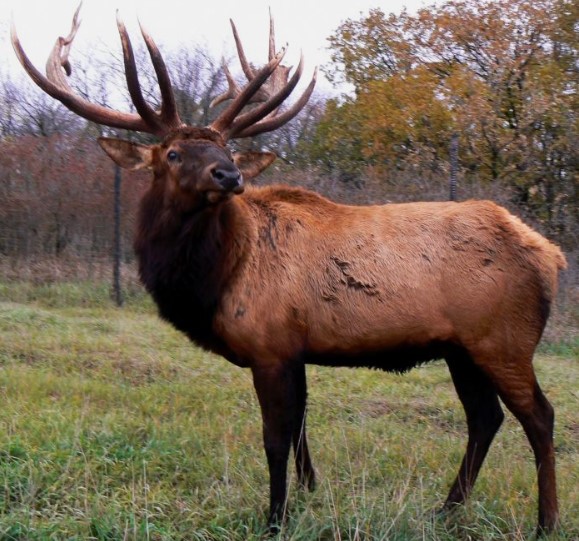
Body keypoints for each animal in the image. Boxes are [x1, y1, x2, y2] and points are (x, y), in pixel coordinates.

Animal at [11, 5, 568, 536]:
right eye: (172, 152)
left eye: (226, 148)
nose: (229, 175)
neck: (217, 277)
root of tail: (551, 255)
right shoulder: (295, 348)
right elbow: (302, 428)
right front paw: (310, 491)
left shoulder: (270, 345)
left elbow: (276, 439)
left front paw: (275, 517)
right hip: (461, 349)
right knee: (485, 418)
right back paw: (445, 510)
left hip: (502, 339)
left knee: (539, 416)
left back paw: (545, 521)